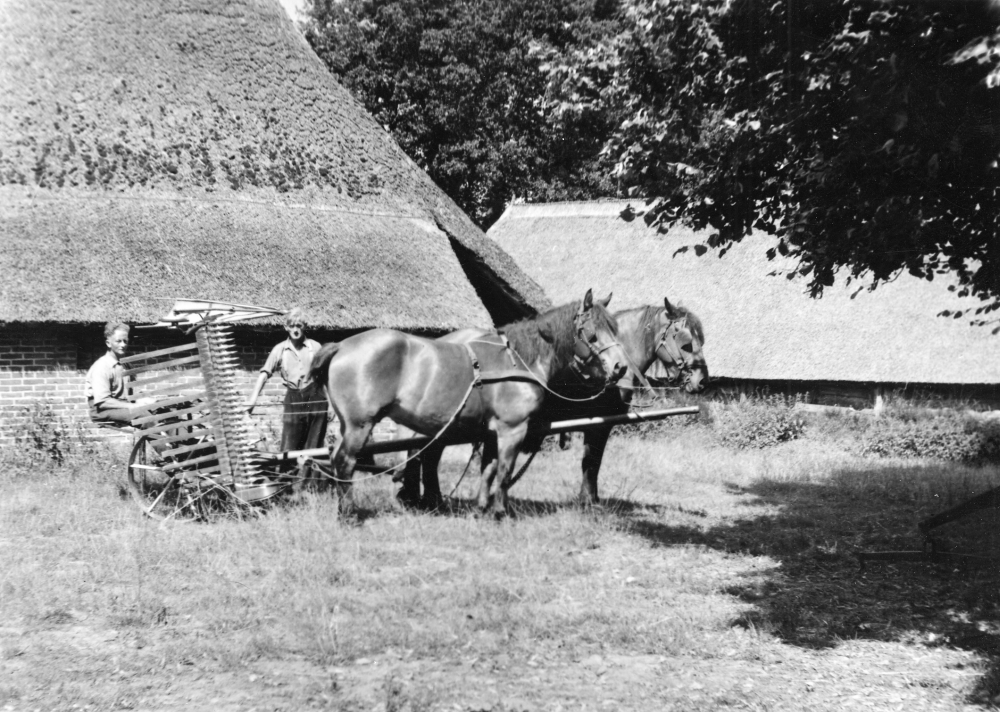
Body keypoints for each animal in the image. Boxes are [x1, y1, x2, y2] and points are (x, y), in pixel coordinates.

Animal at [308, 290, 628, 516]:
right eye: (592, 333)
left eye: (615, 328)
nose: (620, 367)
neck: (519, 359)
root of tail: (342, 345)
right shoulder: (512, 429)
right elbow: (505, 471)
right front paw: (500, 511)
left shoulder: (492, 432)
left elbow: (488, 469)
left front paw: (481, 509)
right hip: (359, 426)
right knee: (345, 463)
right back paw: (349, 513)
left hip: (349, 426)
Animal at [400, 298, 712, 506]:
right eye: (686, 342)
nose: (701, 381)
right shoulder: (599, 426)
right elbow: (592, 461)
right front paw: (589, 500)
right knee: (426, 451)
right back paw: (428, 498)